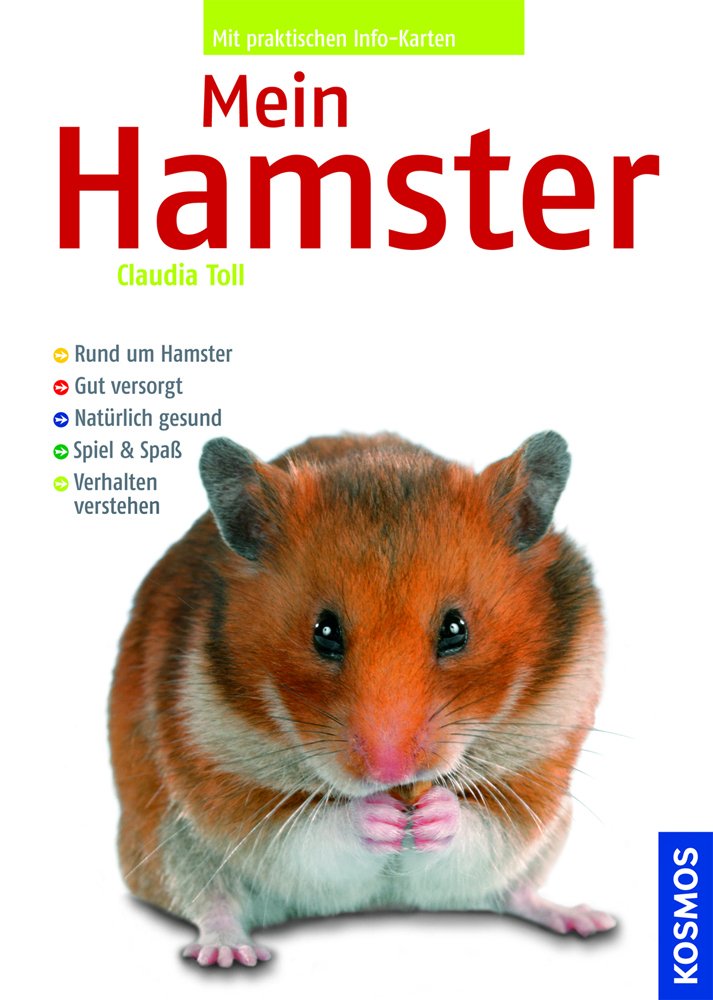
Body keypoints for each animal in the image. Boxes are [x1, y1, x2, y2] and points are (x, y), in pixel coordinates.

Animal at [109, 431, 615, 968]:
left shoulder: (536, 772)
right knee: (213, 901)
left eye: (456, 629)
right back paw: (229, 953)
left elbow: (486, 827)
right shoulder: (226, 785)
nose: (390, 771)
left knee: (511, 891)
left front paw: (434, 812)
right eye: (324, 632)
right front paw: (376, 817)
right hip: (168, 840)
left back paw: (583, 920)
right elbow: (308, 832)